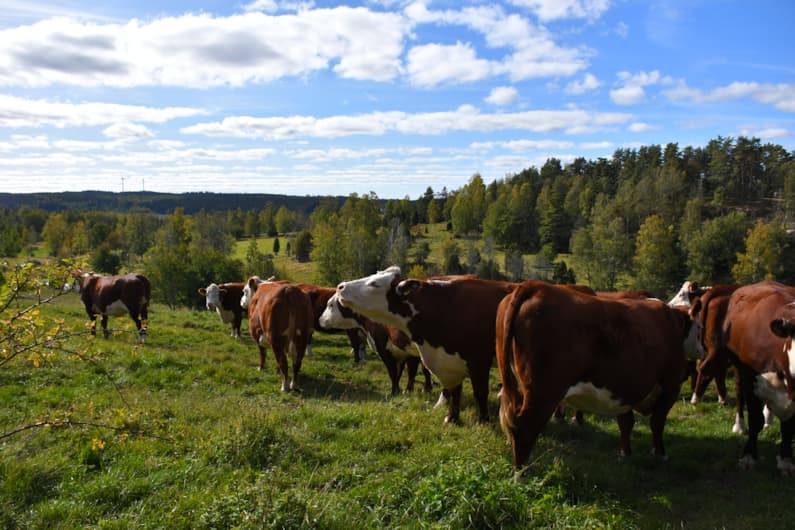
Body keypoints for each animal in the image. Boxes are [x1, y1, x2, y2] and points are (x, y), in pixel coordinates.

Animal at [334, 266, 516, 422]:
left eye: (375, 284)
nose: (341, 286)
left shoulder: (479, 360)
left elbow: (480, 392)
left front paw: (483, 420)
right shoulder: (449, 362)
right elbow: (454, 390)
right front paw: (451, 418)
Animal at [500, 282, 700, 476]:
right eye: (699, 327)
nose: (702, 349)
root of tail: (537, 286)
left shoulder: (625, 389)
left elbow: (626, 423)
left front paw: (625, 453)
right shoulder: (670, 384)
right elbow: (657, 423)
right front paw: (660, 455)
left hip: (519, 387)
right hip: (544, 393)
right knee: (525, 427)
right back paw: (522, 475)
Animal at [724, 278, 795, 472]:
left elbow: (789, 425)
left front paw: (786, 459)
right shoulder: (750, 377)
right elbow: (755, 419)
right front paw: (749, 456)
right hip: (737, 368)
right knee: (739, 395)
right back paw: (739, 426)